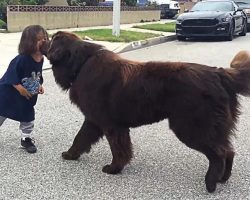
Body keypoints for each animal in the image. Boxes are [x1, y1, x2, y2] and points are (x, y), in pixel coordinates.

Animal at [46, 31, 250, 194]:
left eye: (52, 39)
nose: (44, 40)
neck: (81, 63)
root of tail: (219, 73)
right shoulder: (95, 120)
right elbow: (81, 138)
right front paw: (71, 155)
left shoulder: (109, 124)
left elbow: (116, 148)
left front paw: (114, 168)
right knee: (229, 150)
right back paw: (223, 178)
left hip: (191, 127)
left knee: (219, 153)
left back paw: (211, 183)